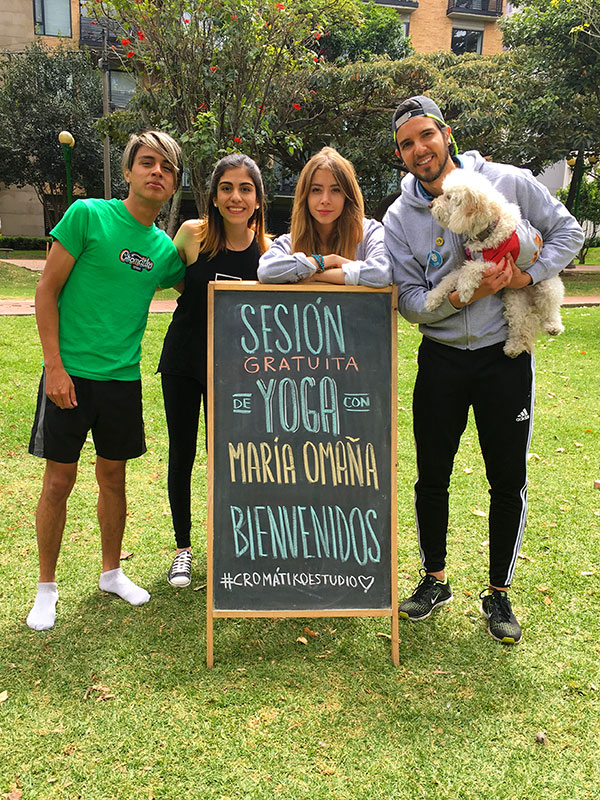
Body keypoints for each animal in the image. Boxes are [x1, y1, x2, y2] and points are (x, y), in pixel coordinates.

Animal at [426, 170, 564, 358]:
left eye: (448, 197)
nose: (430, 205)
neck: (489, 229)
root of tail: (532, 301)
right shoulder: (475, 259)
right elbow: (451, 277)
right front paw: (433, 298)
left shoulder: (497, 263)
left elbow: (469, 270)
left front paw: (464, 289)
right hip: (515, 302)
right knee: (518, 326)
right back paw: (513, 348)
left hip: (548, 286)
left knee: (550, 309)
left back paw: (553, 326)